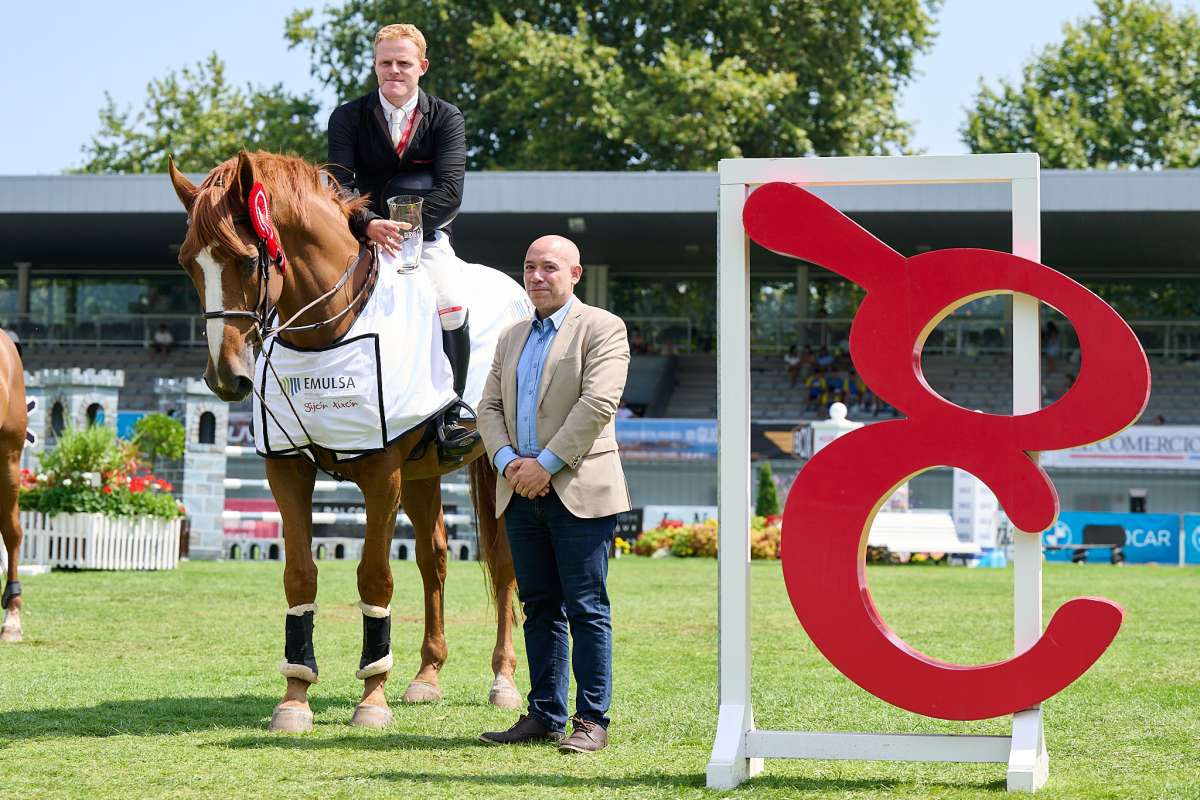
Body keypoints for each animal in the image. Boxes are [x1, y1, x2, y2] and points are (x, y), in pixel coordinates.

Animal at [166, 149, 523, 734]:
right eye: (188, 264)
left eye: (247, 260)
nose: (225, 379)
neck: (325, 334)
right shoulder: (288, 468)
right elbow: (299, 576)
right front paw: (294, 698)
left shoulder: (381, 475)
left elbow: (374, 577)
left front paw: (372, 699)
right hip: (422, 473)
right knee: (434, 558)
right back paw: (426, 677)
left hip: (497, 467)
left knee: (503, 560)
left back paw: (504, 681)